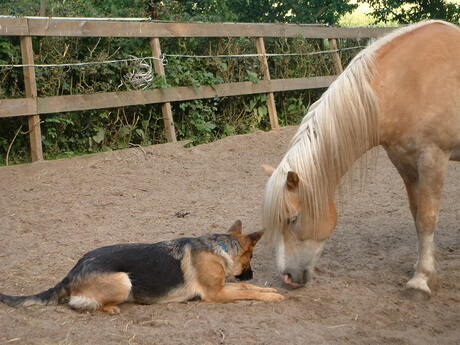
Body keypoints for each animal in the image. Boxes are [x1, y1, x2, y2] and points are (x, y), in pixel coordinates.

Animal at [0, 219, 282, 314]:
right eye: (251, 258)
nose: (252, 273)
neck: (219, 246)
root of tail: (73, 271)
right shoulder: (216, 293)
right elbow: (247, 291)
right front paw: (272, 295)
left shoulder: (222, 288)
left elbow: (249, 288)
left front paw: (270, 291)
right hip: (124, 280)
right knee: (79, 304)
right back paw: (111, 308)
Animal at [262, 20, 460, 296]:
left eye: (293, 218)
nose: (287, 277)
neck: (407, 83)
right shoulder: (405, 162)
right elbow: (417, 213)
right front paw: (424, 265)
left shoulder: (434, 158)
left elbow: (427, 218)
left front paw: (420, 280)